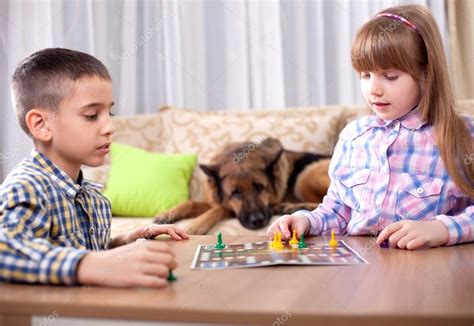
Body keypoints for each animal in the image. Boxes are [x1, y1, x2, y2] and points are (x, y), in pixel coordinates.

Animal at [153, 138, 330, 234]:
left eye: (260, 187)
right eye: (235, 193)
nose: (257, 221)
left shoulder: (228, 208)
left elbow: (219, 209)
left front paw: (196, 225)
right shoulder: (213, 200)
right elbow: (191, 203)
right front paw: (167, 214)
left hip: (304, 176)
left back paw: (293, 207)